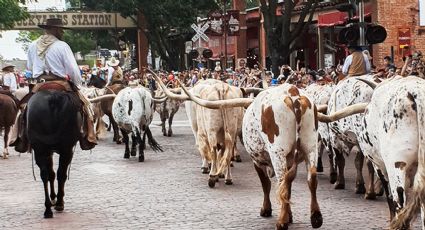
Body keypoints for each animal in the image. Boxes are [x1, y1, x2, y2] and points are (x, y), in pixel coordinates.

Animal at [27, 88, 83, 217]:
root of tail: (53, 97)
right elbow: (54, 174)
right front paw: (55, 199)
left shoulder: (47, 151)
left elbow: (51, 174)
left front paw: (53, 198)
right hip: (65, 149)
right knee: (59, 174)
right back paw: (58, 203)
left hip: (41, 149)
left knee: (46, 174)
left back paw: (48, 208)